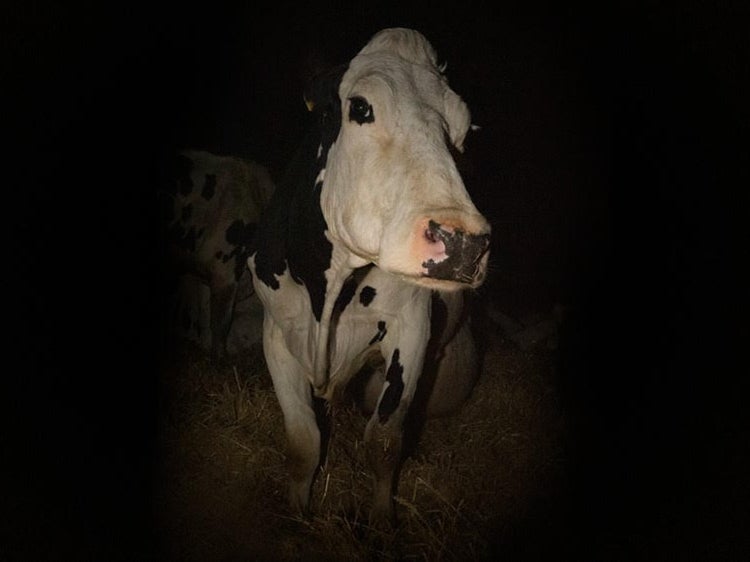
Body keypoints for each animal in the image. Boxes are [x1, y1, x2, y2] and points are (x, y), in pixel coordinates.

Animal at [248, 28, 491, 525]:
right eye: (360, 107)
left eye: (461, 131)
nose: (464, 243)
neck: (328, 293)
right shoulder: (275, 331)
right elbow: (303, 441)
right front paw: (297, 514)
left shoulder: (411, 328)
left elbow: (383, 440)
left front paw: (381, 523)